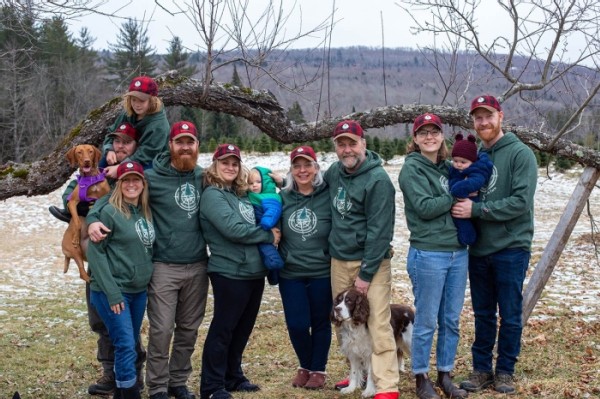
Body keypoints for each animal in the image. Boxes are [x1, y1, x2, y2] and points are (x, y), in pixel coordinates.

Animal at [62, 145, 111, 282]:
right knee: (82, 273)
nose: (87, 161)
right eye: (79, 152)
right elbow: (77, 222)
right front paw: (75, 236)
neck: (90, 179)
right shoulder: (72, 202)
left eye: (91, 151)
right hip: (75, 251)